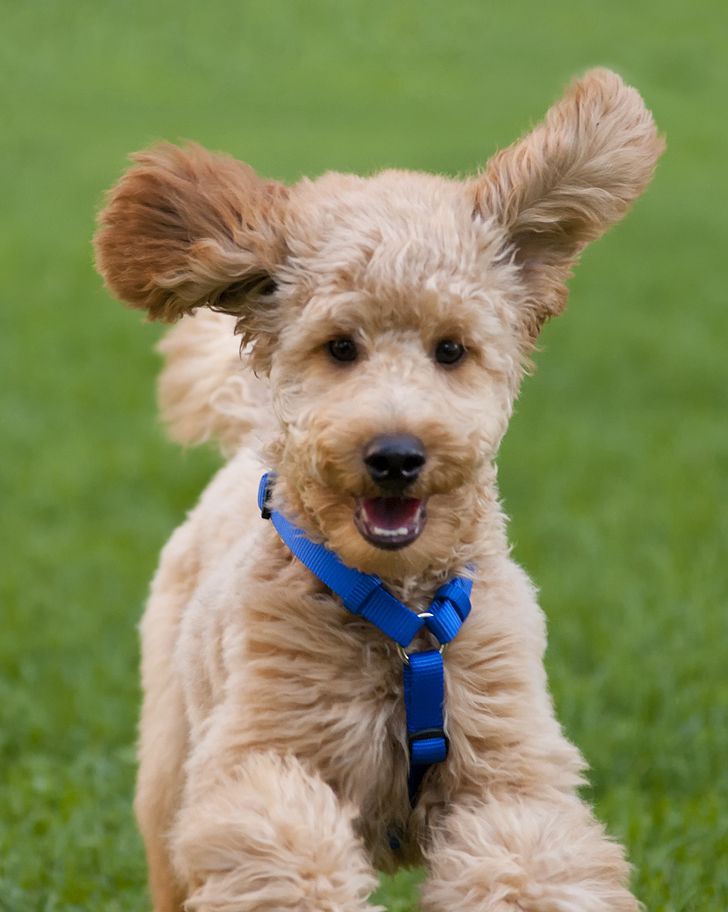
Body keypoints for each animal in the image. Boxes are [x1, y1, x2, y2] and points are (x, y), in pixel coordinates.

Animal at [96, 67, 664, 908]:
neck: (404, 620)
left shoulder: (508, 769)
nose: (395, 455)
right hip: (169, 761)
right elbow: (283, 845)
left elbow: (526, 858)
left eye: (451, 349)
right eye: (340, 347)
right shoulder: (261, 751)